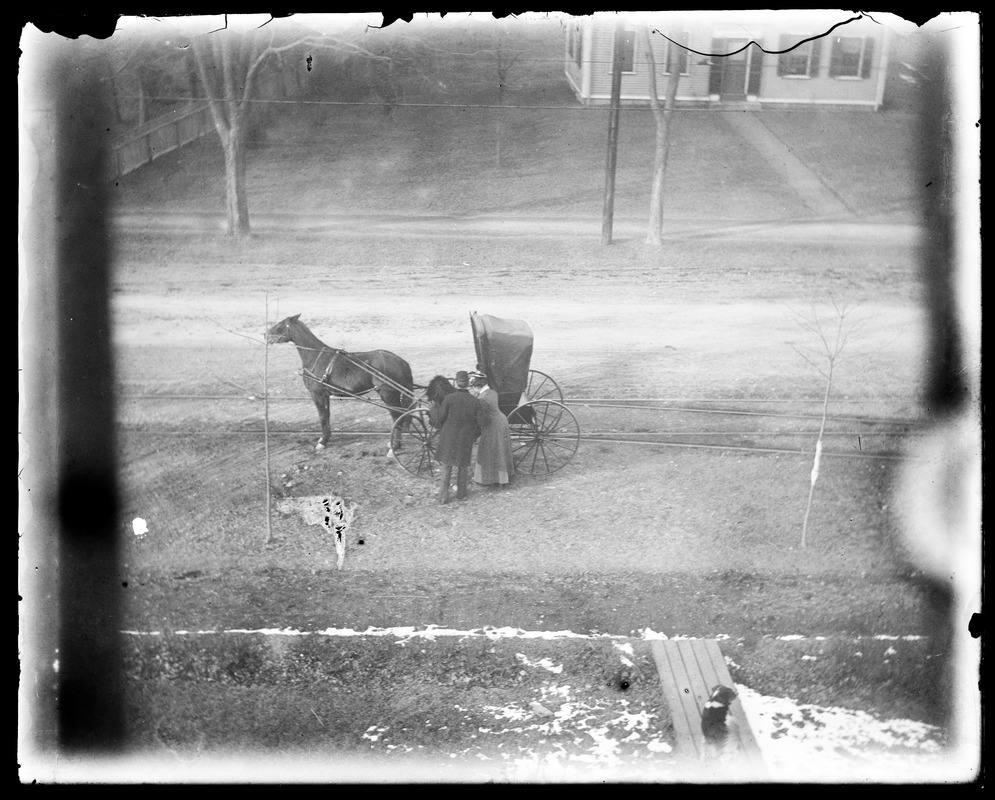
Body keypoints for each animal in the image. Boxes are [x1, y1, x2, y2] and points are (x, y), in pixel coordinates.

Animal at [264, 312, 416, 450]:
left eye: (279, 325)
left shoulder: (317, 394)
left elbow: (322, 417)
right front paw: (325, 438)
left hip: (388, 393)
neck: (315, 356)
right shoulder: (325, 395)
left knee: (398, 416)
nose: (265, 335)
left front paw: (322, 442)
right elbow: (327, 416)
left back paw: (394, 446)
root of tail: (402, 362)